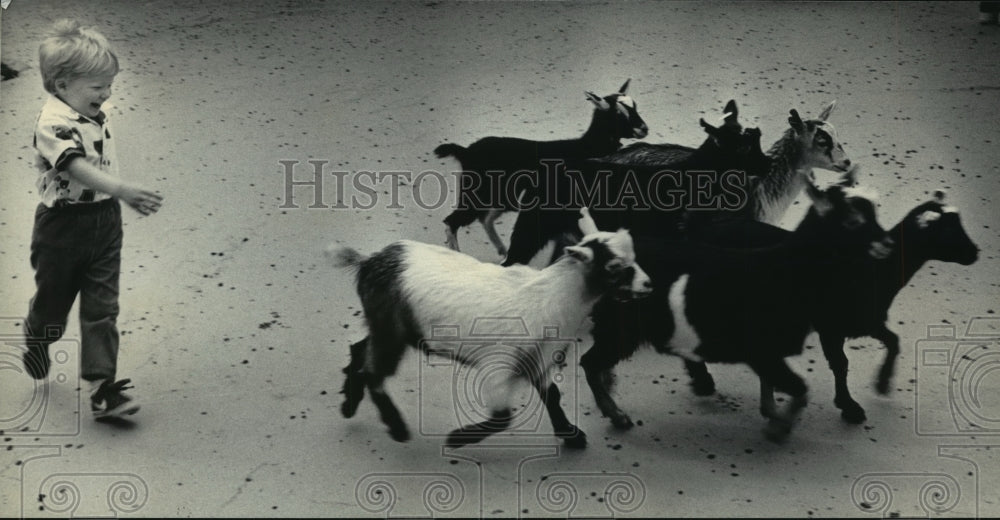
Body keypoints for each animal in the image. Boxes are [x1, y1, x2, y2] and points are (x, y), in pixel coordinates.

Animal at [438, 79, 648, 258]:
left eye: (635, 106)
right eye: (618, 113)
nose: (644, 129)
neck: (584, 146)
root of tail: (466, 151)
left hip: (501, 197)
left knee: (484, 219)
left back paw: (501, 249)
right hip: (477, 193)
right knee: (452, 221)